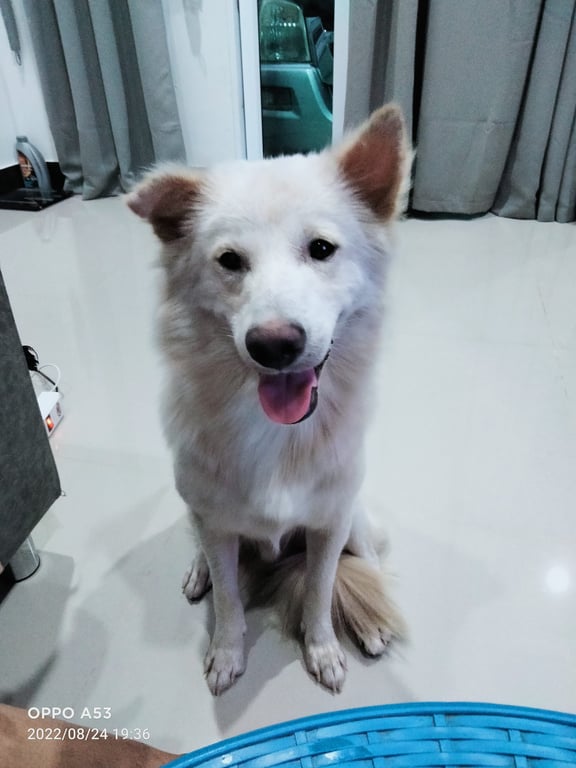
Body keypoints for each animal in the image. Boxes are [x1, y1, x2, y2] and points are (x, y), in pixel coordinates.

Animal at [127, 104, 412, 695]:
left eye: (322, 249)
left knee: (367, 558)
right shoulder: (217, 524)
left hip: (355, 516)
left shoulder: (329, 524)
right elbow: (230, 600)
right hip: (195, 505)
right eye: (230, 260)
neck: (279, 435)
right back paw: (198, 574)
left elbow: (322, 593)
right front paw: (225, 653)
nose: (275, 345)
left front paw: (322, 648)